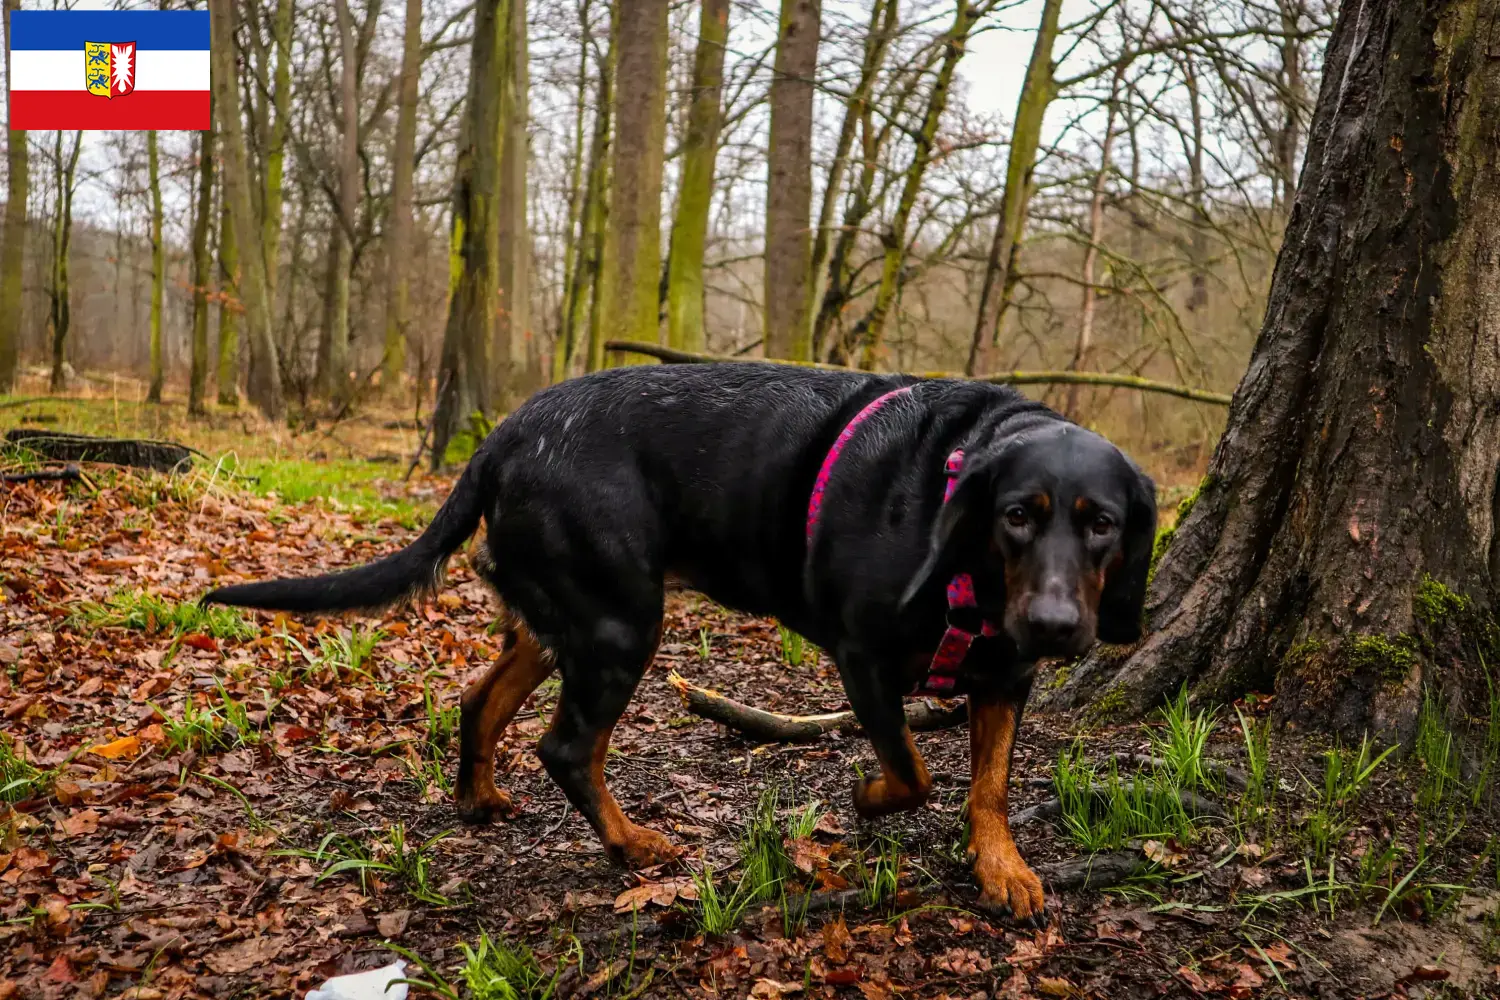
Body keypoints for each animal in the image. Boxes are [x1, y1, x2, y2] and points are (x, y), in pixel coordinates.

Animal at [205, 365, 1152, 923]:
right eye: (1017, 515)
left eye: (1102, 524)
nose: (1059, 628)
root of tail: (504, 436)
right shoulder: (861, 660)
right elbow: (913, 771)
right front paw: (868, 794)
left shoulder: (1007, 677)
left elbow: (988, 789)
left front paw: (1001, 867)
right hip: (622, 622)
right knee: (567, 747)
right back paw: (631, 846)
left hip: (563, 620)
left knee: (480, 696)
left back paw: (479, 797)